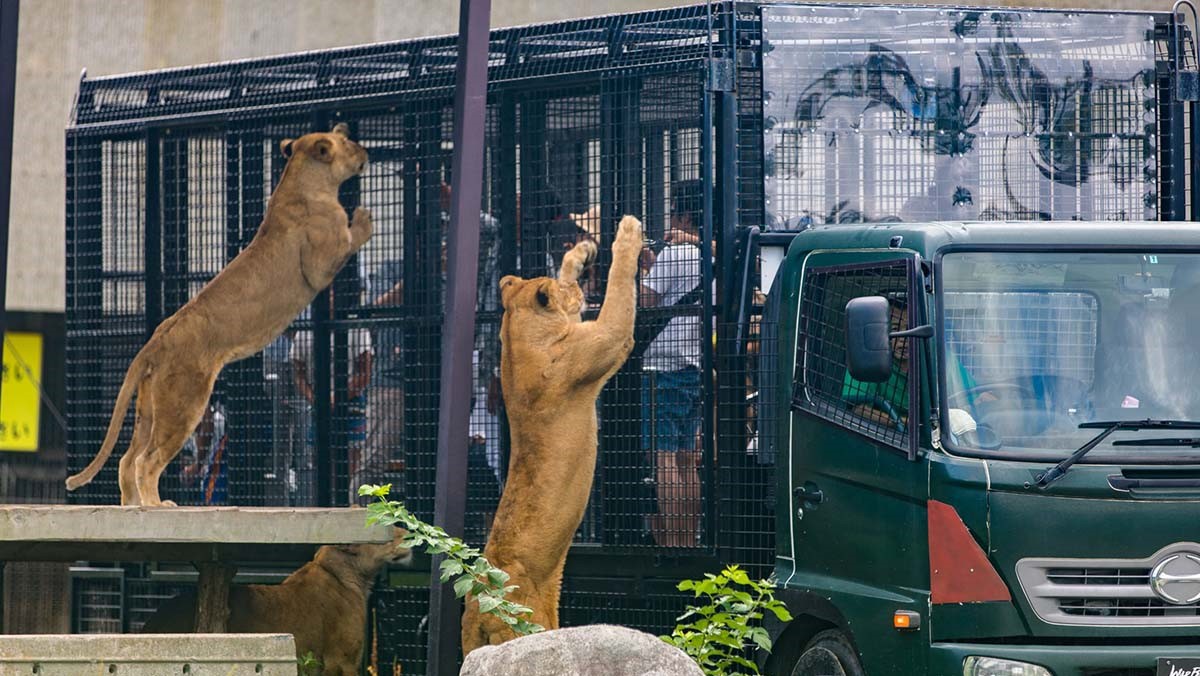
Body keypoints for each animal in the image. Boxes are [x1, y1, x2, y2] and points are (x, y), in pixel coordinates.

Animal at [65, 123, 372, 509]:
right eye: (346, 142)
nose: (365, 151)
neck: (302, 180)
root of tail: (156, 339)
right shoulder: (319, 264)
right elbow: (349, 240)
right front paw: (364, 216)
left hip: (150, 406)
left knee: (126, 458)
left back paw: (135, 506)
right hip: (185, 401)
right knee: (145, 460)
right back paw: (156, 505)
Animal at [460, 213, 648, 653]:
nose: (579, 290)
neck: (514, 337)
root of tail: (476, 606)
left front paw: (579, 253)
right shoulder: (607, 340)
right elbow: (618, 288)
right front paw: (627, 234)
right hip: (527, 626)